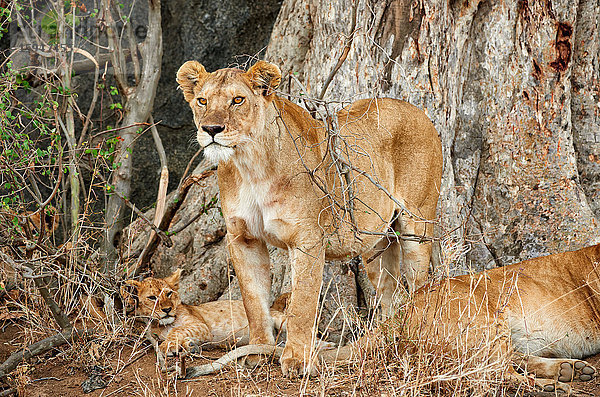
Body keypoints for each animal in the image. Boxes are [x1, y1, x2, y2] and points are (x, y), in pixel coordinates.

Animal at [176, 58, 442, 374]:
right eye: (202, 101)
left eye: (237, 100)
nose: (211, 129)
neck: (249, 166)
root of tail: (419, 112)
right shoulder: (243, 238)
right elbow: (253, 300)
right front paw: (257, 351)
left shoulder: (307, 239)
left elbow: (302, 302)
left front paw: (297, 359)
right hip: (376, 241)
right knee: (389, 288)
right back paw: (382, 337)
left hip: (418, 224)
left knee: (419, 285)